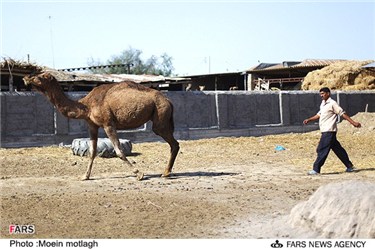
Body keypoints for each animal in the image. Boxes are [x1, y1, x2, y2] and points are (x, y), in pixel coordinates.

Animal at [23, 72, 181, 180]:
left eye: (41, 76)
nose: (26, 77)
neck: (86, 106)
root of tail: (169, 100)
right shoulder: (92, 125)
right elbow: (92, 152)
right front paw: (85, 176)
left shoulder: (108, 124)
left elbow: (119, 151)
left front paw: (139, 174)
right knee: (174, 144)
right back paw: (166, 172)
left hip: (160, 117)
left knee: (174, 143)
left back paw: (165, 172)